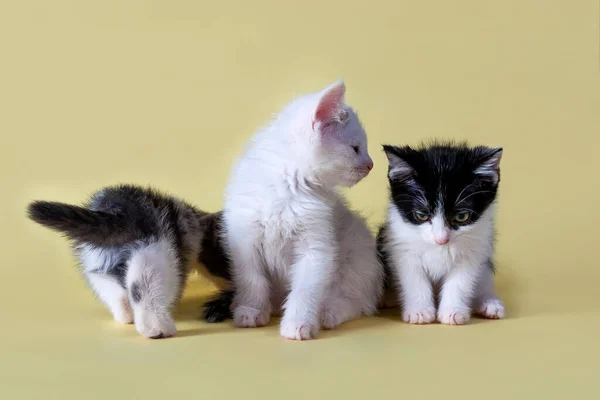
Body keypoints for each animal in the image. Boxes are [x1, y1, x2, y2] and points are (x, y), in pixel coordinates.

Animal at [25, 184, 229, 338]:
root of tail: (117, 208)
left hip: (98, 267)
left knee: (117, 293)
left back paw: (126, 317)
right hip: (154, 254)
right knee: (143, 291)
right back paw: (158, 330)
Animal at [221, 79, 384, 340]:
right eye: (355, 148)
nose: (370, 165)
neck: (286, 189)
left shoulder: (317, 247)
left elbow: (305, 290)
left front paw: (298, 323)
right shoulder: (244, 241)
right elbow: (252, 279)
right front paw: (251, 309)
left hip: (357, 257)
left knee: (356, 302)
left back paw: (329, 311)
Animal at [380, 141, 506, 324]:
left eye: (461, 216)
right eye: (421, 215)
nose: (441, 240)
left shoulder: (476, 248)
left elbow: (461, 280)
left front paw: (453, 311)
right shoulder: (400, 246)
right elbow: (413, 278)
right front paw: (420, 311)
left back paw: (489, 303)